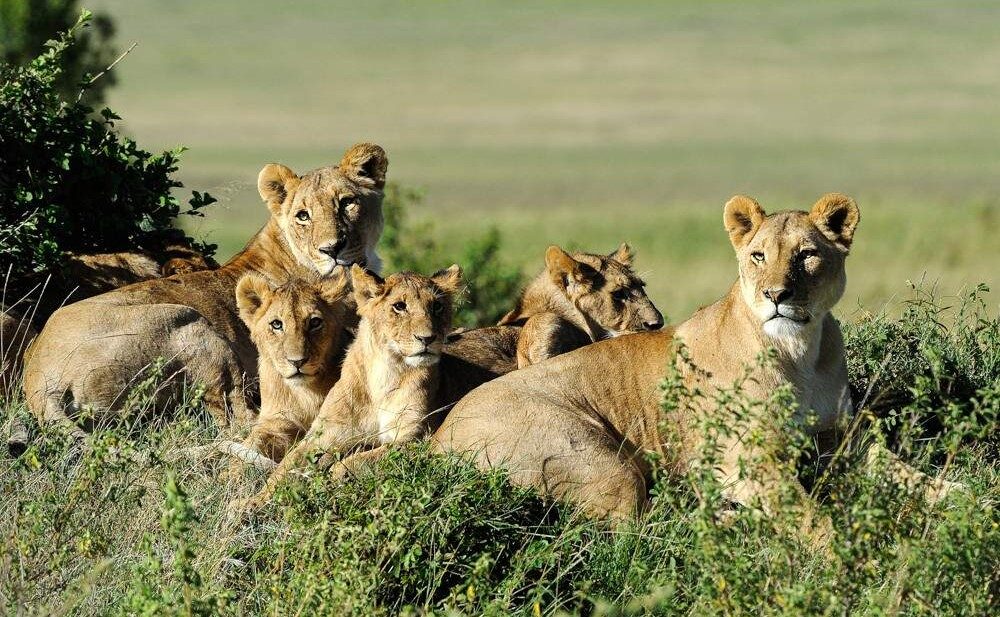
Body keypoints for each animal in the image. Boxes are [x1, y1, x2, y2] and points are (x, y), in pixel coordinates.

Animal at [21, 143, 389, 438]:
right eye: (303, 216)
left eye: (347, 203)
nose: (332, 248)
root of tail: (39, 380)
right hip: (192, 324)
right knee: (240, 419)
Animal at [238, 264, 463, 507]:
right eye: (399, 306)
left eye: (437, 306)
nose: (428, 338)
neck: (384, 374)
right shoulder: (316, 434)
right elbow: (284, 467)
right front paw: (250, 503)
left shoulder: (415, 439)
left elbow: (358, 461)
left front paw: (333, 478)